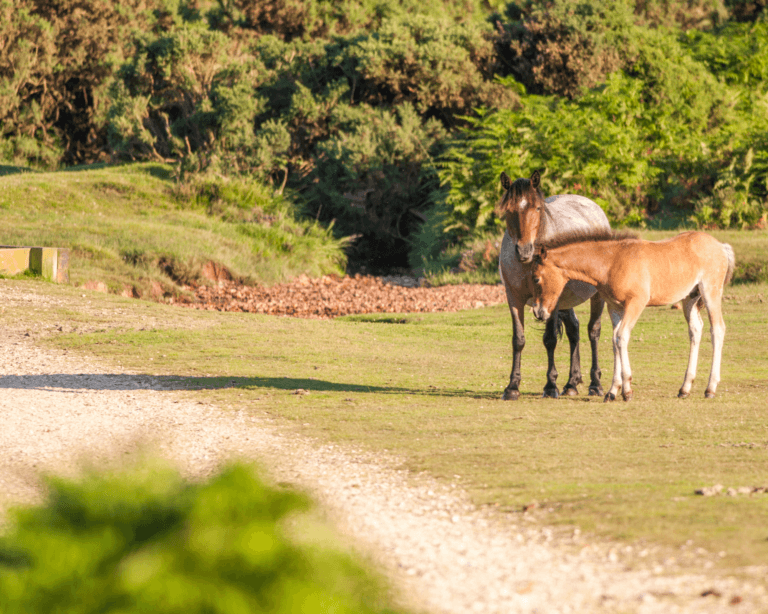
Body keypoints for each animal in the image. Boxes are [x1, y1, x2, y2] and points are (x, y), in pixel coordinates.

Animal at [498, 171, 612, 402]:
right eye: (509, 210)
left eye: (537, 208)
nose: (524, 250)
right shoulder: (513, 298)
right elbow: (518, 339)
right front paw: (512, 386)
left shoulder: (553, 300)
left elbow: (550, 339)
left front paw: (550, 386)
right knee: (574, 330)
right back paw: (571, 383)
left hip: (596, 296)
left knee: (593, 331)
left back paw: (595, 384)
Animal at [532, 229, 736, 402]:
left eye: (535, 278)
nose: (538, 312)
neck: (611, 262)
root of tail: (720, 246)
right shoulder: (614, 307)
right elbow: (615, 340)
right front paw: (612, 391)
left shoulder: (636, 303)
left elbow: (622, 337)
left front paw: (627, 391)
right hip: (690, 299)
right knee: (695, 330)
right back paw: (684, 388)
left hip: (710, 292)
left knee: (717, 329)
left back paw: (710, 388)